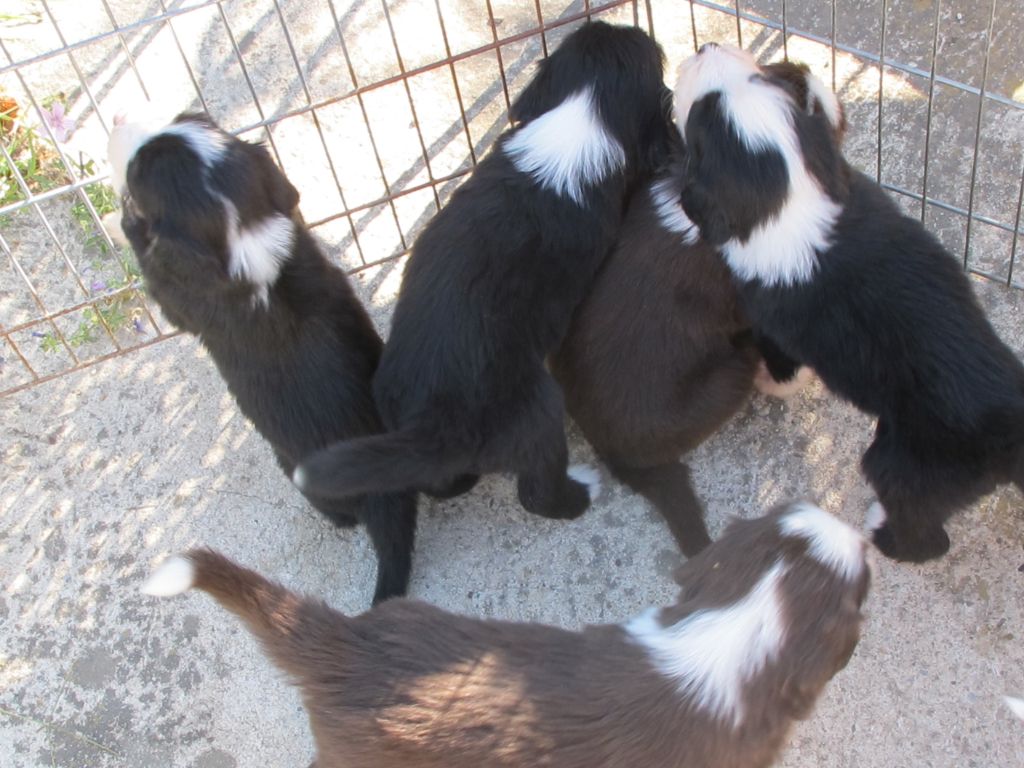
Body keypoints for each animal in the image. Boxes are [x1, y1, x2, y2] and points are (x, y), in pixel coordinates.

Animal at [107, 115, 415, 606]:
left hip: (293, 469)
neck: (245, 235)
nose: (118, 121)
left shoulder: (177, 299)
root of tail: (388, 499)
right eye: (183, 118)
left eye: (138, 173)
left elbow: (147, 258)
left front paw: (120, 220)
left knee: (342, 516)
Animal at [671, 45, 1024, 561]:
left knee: (928, 537)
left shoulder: (776, 328)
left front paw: (766, 382)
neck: (789, 201)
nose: (706, 48)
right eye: (762, 80)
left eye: (701, 117)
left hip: (902, 465)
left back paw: (881, 531)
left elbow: (785, 372)